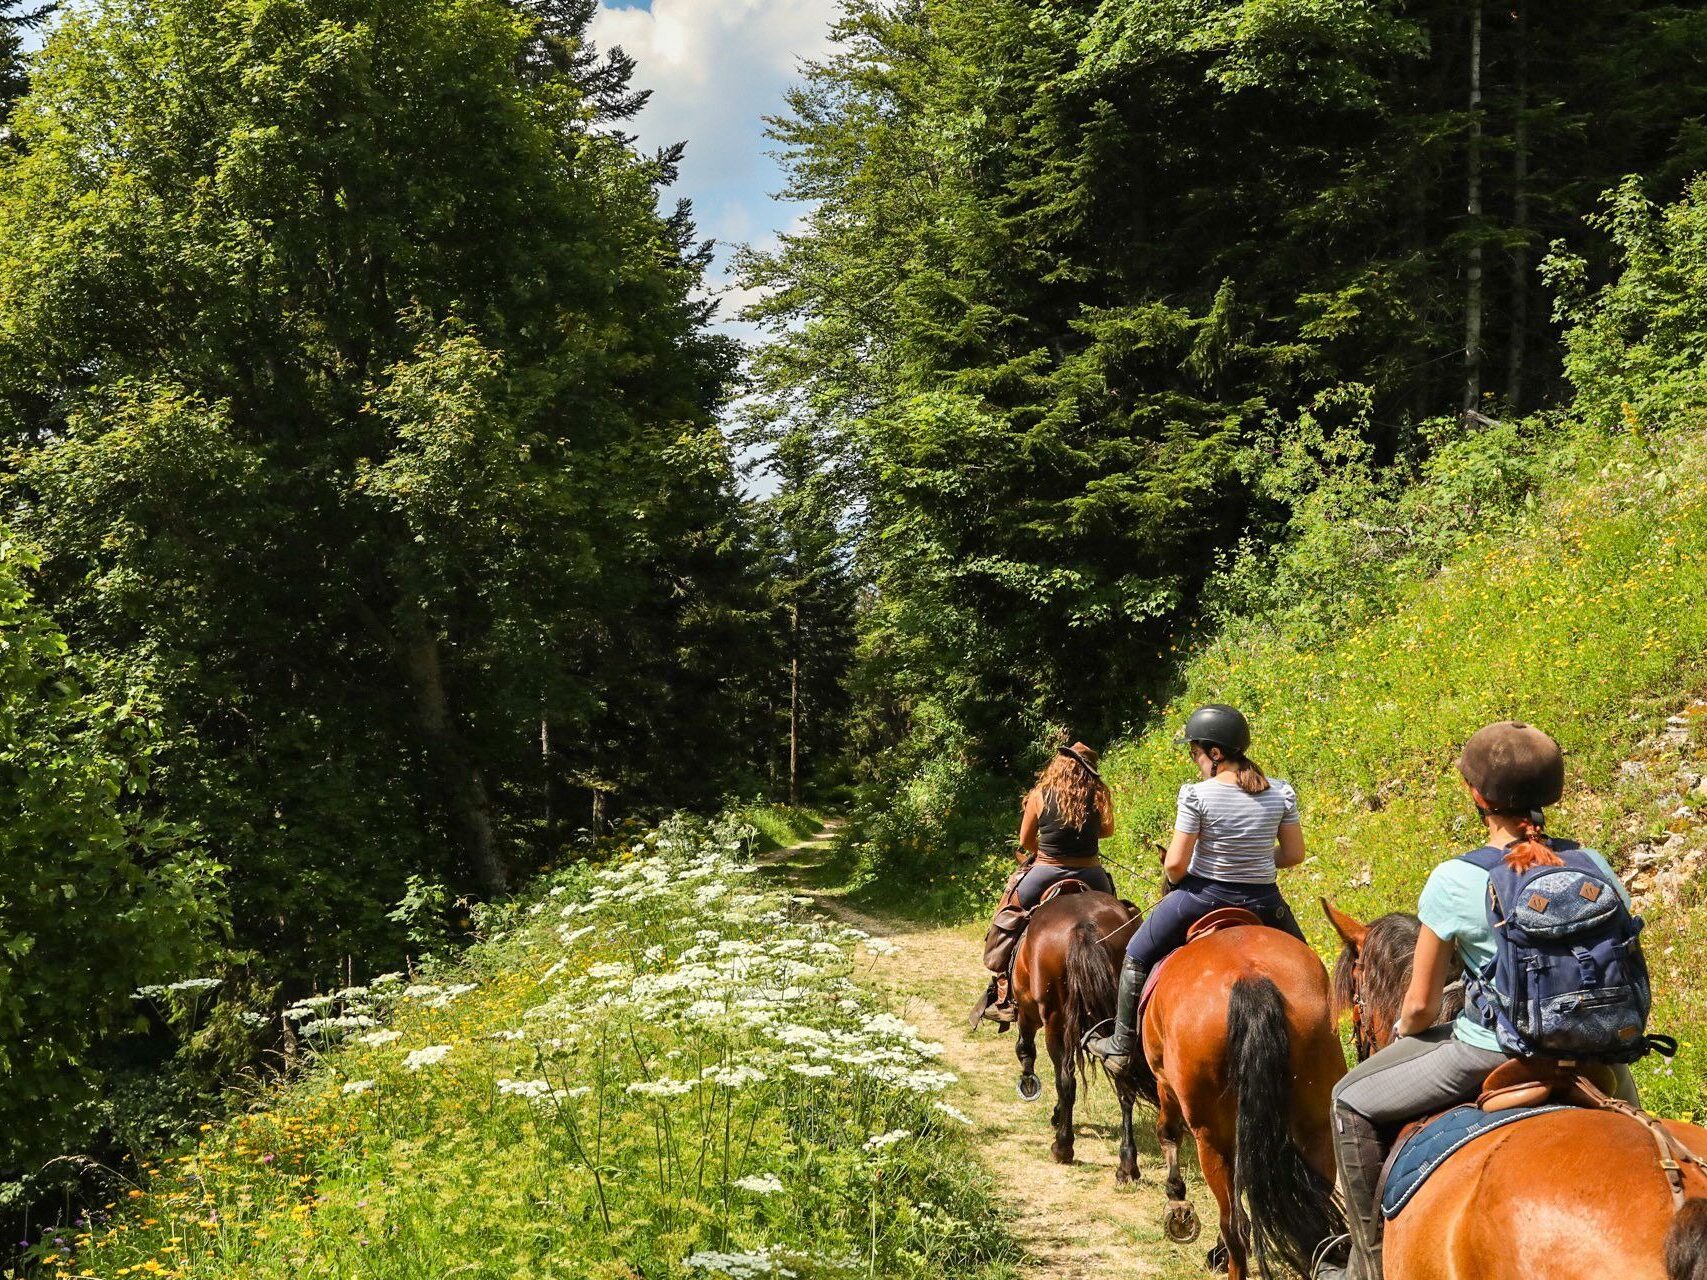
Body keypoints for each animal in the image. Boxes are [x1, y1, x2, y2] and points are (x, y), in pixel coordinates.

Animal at [1009, 889, 1144, 1179]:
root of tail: (1083, 927)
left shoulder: (1028, 1010)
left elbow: (1026, 1047)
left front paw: (1030, 1085)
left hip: (1055, 1022)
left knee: (1065, 1080)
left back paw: (1063, 1147)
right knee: (1123, 1082)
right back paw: (1127, 1163)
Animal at [1135, 916, 1347, 1280]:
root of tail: (1249, 978)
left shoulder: (1165, 1084)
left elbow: (1168, 1134)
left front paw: (1177, 1203)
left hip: (1211, 1139)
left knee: (1234, 1223)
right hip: (1315, 1123)